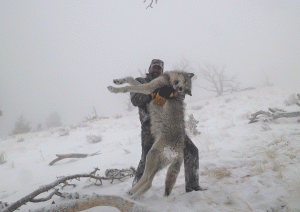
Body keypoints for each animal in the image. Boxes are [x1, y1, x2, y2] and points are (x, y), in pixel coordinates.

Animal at [108, 71, 195, 199]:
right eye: (184, 82)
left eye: (184, 88)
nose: (179, 88)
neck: (169, 82)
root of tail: (180, 151)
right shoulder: (151, 87)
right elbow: (131, 79)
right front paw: (118, 81)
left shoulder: (149, 88)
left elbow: (129, 87)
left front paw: (113, 89)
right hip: (157, 164)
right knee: (149, 183)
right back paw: (135, 197)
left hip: (151, 155)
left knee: (146, 179)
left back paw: (131, 192)